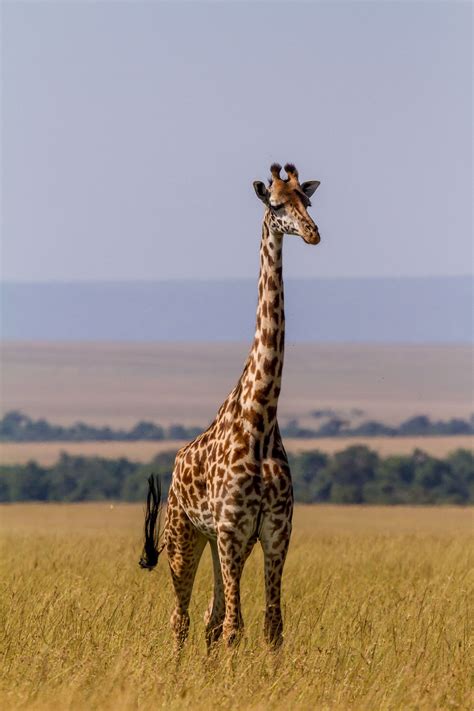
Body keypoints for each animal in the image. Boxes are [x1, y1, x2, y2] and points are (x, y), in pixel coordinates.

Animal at [139, 164, 320, 652]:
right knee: (181, 618)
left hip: (217, 542)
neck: (260, 419)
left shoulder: (275, 531)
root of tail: (176, 464)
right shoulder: (232, 528)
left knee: (209, 617)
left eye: (306, 200)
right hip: (185, 535)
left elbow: (271, 627)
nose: (313, 233)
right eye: (275, 204)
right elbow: (237, 628)